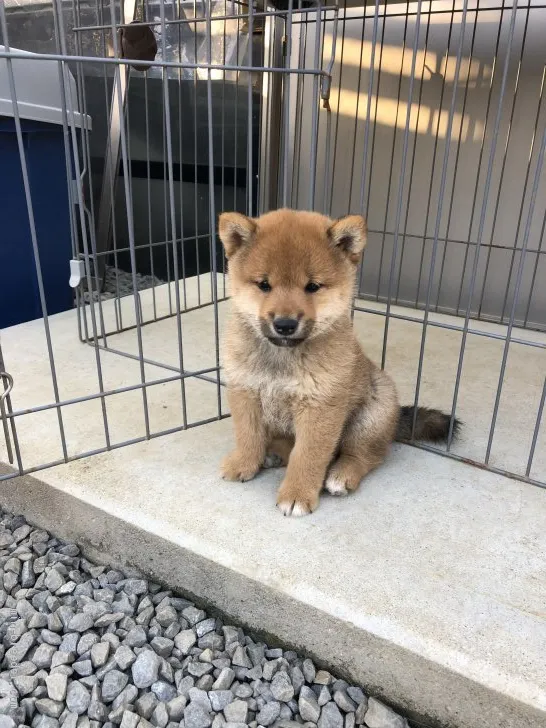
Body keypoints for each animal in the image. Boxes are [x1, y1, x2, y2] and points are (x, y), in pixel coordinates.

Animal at [217, 208, 454, 516]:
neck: (281, 358)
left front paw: (297, 494)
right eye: (264, 285)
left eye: (312, 286)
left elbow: (307, 455)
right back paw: (273, 453)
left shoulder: (320, 407)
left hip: (372, 414)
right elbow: (248, 436)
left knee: (366, 455)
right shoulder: (245, 391)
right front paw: (244, 463)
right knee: (288, 444)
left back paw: (341, 475)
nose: (285, 324)